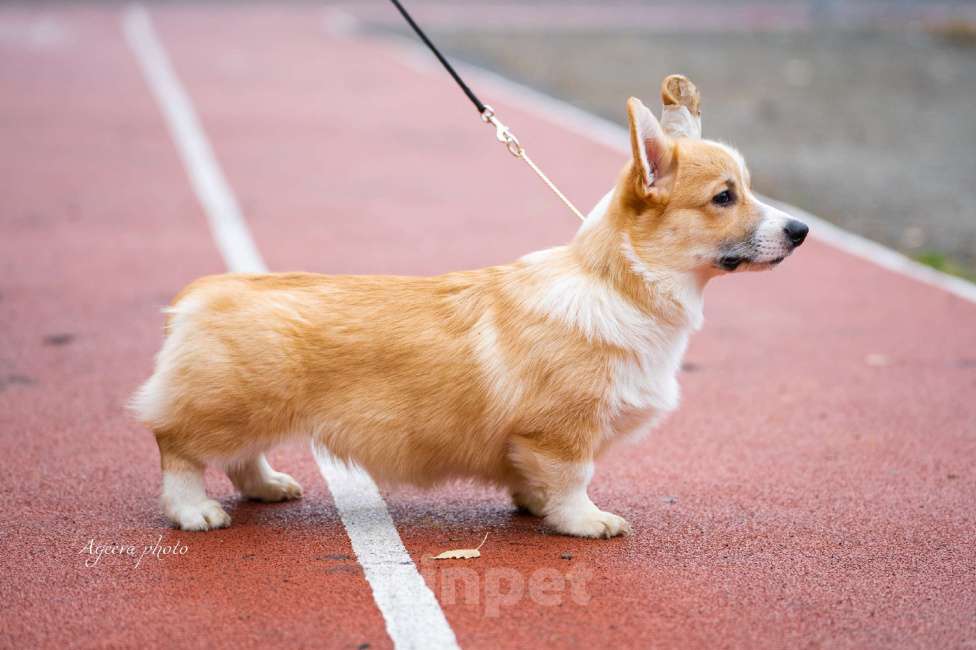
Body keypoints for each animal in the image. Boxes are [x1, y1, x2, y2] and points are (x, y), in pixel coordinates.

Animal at [133, 73, 812, 536]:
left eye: (748, 189)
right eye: (724, 197)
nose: (802, 230)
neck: (623, 286)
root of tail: (196, 296)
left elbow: (534, 481)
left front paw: (533, 505)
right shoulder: (563, 432)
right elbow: (574, 481)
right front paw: (586, 521)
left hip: (252, 413)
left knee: (242, 459)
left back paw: (269, 487)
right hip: (229, 407)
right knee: (177, 446)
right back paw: (194, 511)